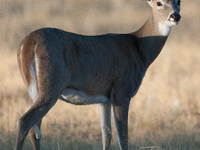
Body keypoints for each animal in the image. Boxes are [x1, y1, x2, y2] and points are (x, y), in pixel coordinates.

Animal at [15, 0, 181, 149]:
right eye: (159, 3)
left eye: (178, 1)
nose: (175, 16)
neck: (139, 49)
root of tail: (28, 43)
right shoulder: (122, 92)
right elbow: (123, 138)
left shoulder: (104, 99)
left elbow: (106, 136)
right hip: (51, 86)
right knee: (24, 122)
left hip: (34, 89)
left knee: (35, 130)